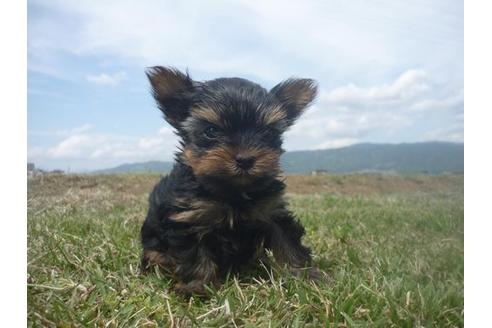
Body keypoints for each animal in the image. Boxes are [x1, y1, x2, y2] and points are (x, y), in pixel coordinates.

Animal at [140, 66, 320, 298]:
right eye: (211, 131)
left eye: (268, 133)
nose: (245, 159)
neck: (232, 192)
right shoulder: (188, 218)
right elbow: (195, 255)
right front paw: (198, 286)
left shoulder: (272, 211)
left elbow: (288, 242)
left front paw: (304, 275)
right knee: (155, 254)